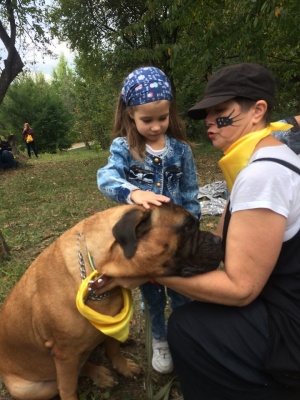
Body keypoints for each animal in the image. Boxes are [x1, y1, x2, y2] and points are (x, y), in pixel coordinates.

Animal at [0, 205, 223, 398]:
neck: (100, 277)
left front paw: (123, 367)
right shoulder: (64, 355)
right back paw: (99, 374)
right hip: (32, 388)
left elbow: (113, 348)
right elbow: (68, 387)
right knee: (72, 373)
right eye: (187, 227)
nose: (219, 238)